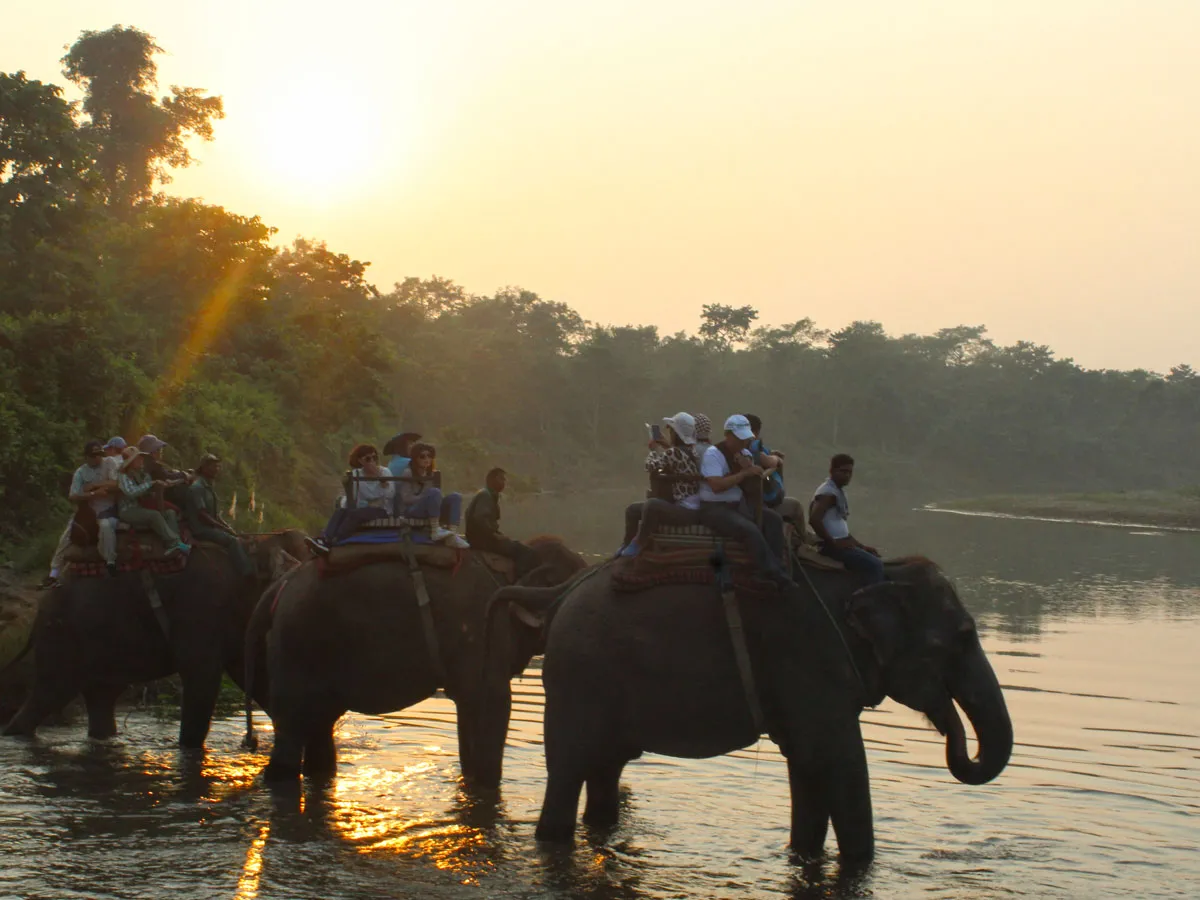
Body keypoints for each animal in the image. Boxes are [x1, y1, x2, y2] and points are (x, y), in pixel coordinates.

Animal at [3, 530, 308, 748]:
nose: (250, 741)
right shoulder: (200, 611)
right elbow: (204, 678)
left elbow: (255, 677)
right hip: (64, 638)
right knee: (50, 694)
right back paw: (14, 736)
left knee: (101, 699)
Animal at [250, 536, 587, 784]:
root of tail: (279, 587)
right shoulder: (482, 633)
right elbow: (492, 703)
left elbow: (468, 712)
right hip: (298, 648)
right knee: (291, 733)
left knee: (320, 729)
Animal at [485, 557, 1013, 864]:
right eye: (964, 636)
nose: (949, 725)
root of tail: (560, 593)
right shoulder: (809, 658)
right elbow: (840, 763)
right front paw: (859, 866)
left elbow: (808, 765)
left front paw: (802, 853)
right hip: (580, 679)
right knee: (568, 771)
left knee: (604, 770)